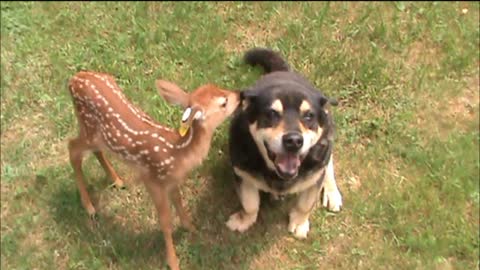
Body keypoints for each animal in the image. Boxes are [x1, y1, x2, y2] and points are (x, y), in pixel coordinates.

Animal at [227, 48, 344, 238]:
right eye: (272, 113)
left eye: (309, 115)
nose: (294, 141)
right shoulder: (242, 173)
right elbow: (250, 203)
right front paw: (243, 221)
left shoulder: (314, 174)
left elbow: (305, 204)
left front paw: (299, 223)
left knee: (329, 163)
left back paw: (332, 192)